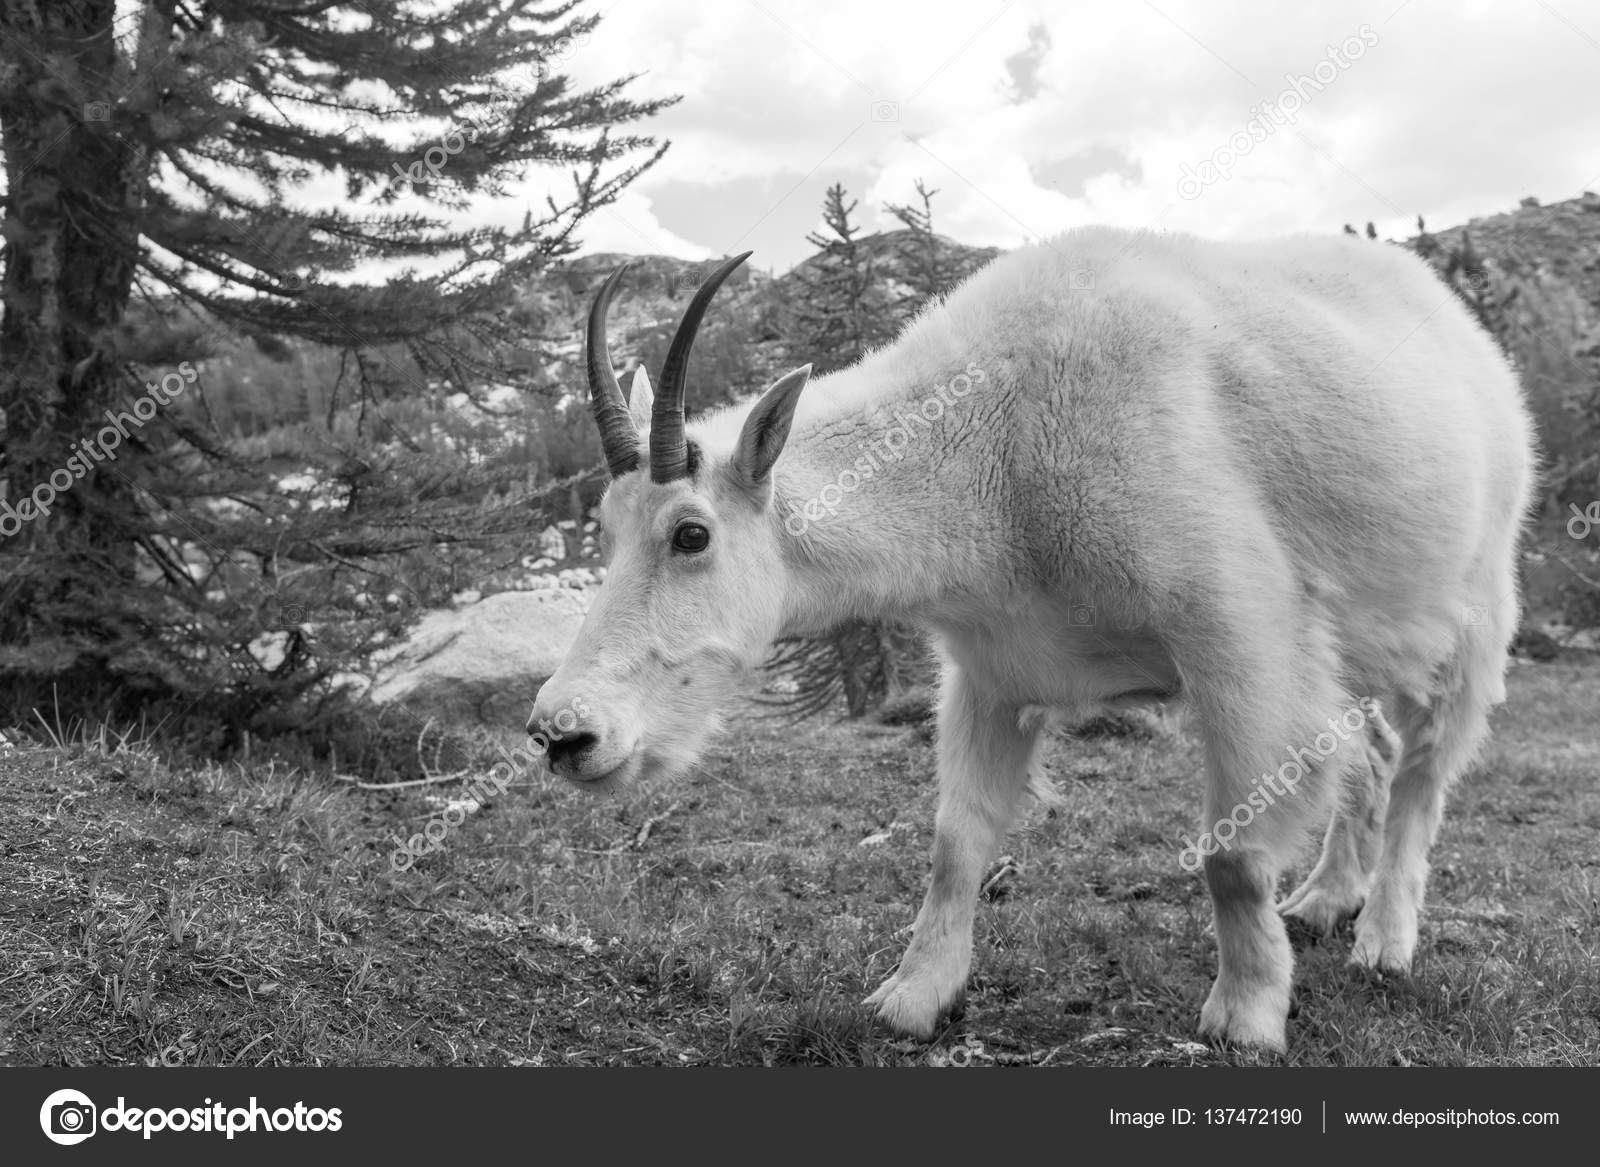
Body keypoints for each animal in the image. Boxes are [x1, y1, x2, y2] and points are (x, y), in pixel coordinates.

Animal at [527, 227, 1535, 1051]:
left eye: (691, 533)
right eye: (606, 531)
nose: (562, 732)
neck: (994, 445)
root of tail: (1468, 337)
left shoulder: (1240, 639)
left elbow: (1232, 854)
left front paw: (1246, 1016)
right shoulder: (991, 670)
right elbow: (956, 841)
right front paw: (912, 997)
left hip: (1476, 603)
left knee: (1425, 769)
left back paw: (1384, 939)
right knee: (1373, 748)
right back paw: (1327, 899)